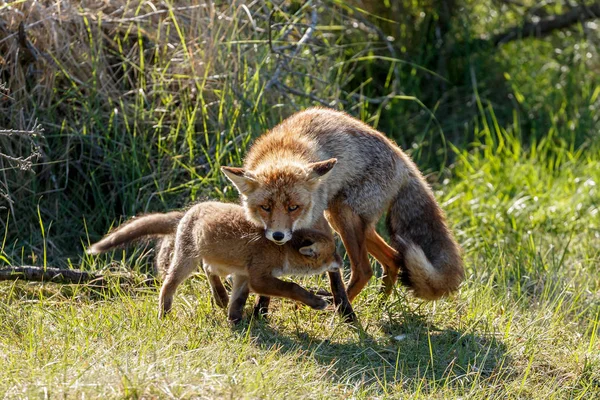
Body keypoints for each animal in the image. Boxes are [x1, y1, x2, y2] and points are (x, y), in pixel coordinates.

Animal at [86, 202, 344, 324]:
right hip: (186, 261)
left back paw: (220, 297)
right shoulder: (259, 277)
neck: (281, 249)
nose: (342, 262)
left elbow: (238, 300)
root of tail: (189, 210)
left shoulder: (243, 276)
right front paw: (316, 302)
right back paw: (164, 313)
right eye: (332, 253)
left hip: (217, 261)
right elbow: (292, 287)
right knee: (168, 285)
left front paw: (235, 320)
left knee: (209, 270)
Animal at [221, 105, 464, 306]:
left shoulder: (321, 227)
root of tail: (403, 159)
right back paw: (379, 305)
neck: (282, 153)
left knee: (364, 270)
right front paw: (260, 309)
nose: (278, 235)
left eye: (293, 207)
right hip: (352, 222)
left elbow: (334, 275)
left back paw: (342, 306)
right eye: (266, 207)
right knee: (394, 258)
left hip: (341, 215)